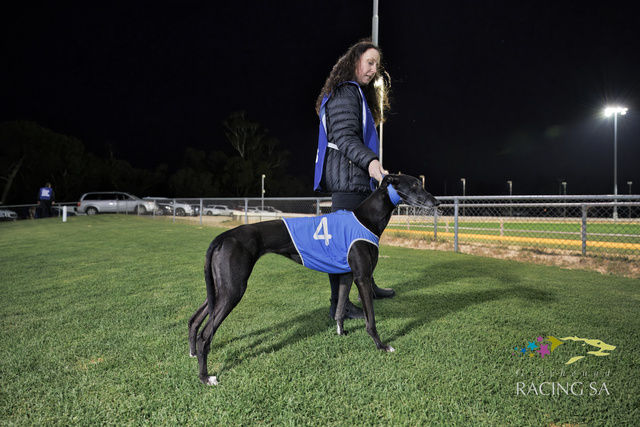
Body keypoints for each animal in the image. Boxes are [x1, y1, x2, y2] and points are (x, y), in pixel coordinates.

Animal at [188, 174, 440, 385]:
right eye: (414, 185)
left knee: (194, 320)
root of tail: (224, 236)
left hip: (220, 289)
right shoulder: (363, 278)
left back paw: (191, 352)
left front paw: (341, 332)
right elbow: (371, 320)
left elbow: (339, 310)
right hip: (233, 290)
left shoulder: (346, 276)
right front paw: (380, 346)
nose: (436, 202)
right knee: (205, 335)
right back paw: (205, 377)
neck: (366, 218)